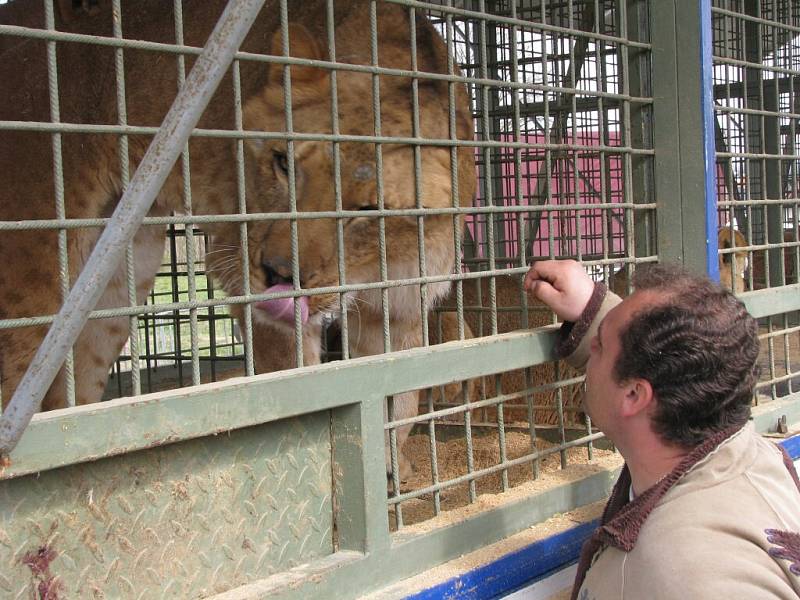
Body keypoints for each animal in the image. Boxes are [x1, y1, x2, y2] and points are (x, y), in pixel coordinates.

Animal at [0, 1, 476, 478]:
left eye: (366, 209)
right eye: (283, 164)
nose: (277, 274)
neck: (379, 264)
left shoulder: (398, 308)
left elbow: (400, 399)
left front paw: (395, 474)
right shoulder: (240, 270)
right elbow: (302, 387)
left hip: (116, 273)